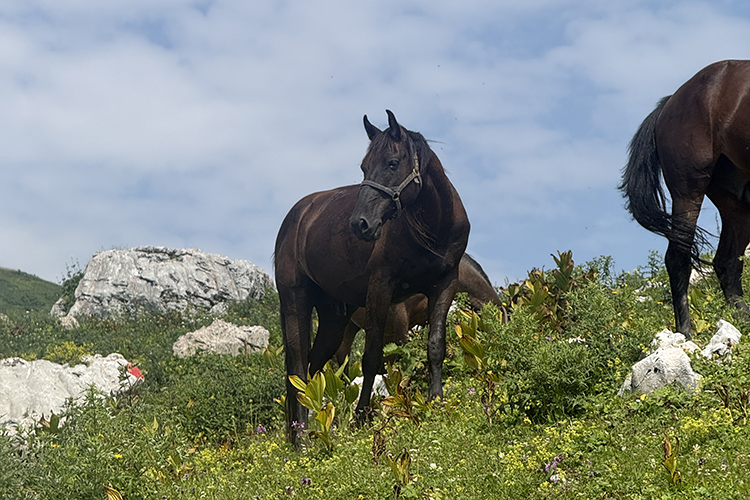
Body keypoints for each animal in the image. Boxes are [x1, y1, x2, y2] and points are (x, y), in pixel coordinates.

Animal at [274, 110, 470, 445]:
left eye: (392, 163)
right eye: (364, 167)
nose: (360, 224)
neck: (433, 230)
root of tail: (298, 216)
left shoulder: (445, 284)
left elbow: (435, 345)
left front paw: (436, 404)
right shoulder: (381, 288)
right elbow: (372, 356)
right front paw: (362, 418)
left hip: (335, 318)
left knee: (311, 370)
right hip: (295, 302)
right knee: (298, 369)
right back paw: (300, 440)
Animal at [620, 60, 750, 338]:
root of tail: (669, 102)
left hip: (738, 204)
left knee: (727, 262)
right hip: (688, 192)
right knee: (678, 258)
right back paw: (685, 333)